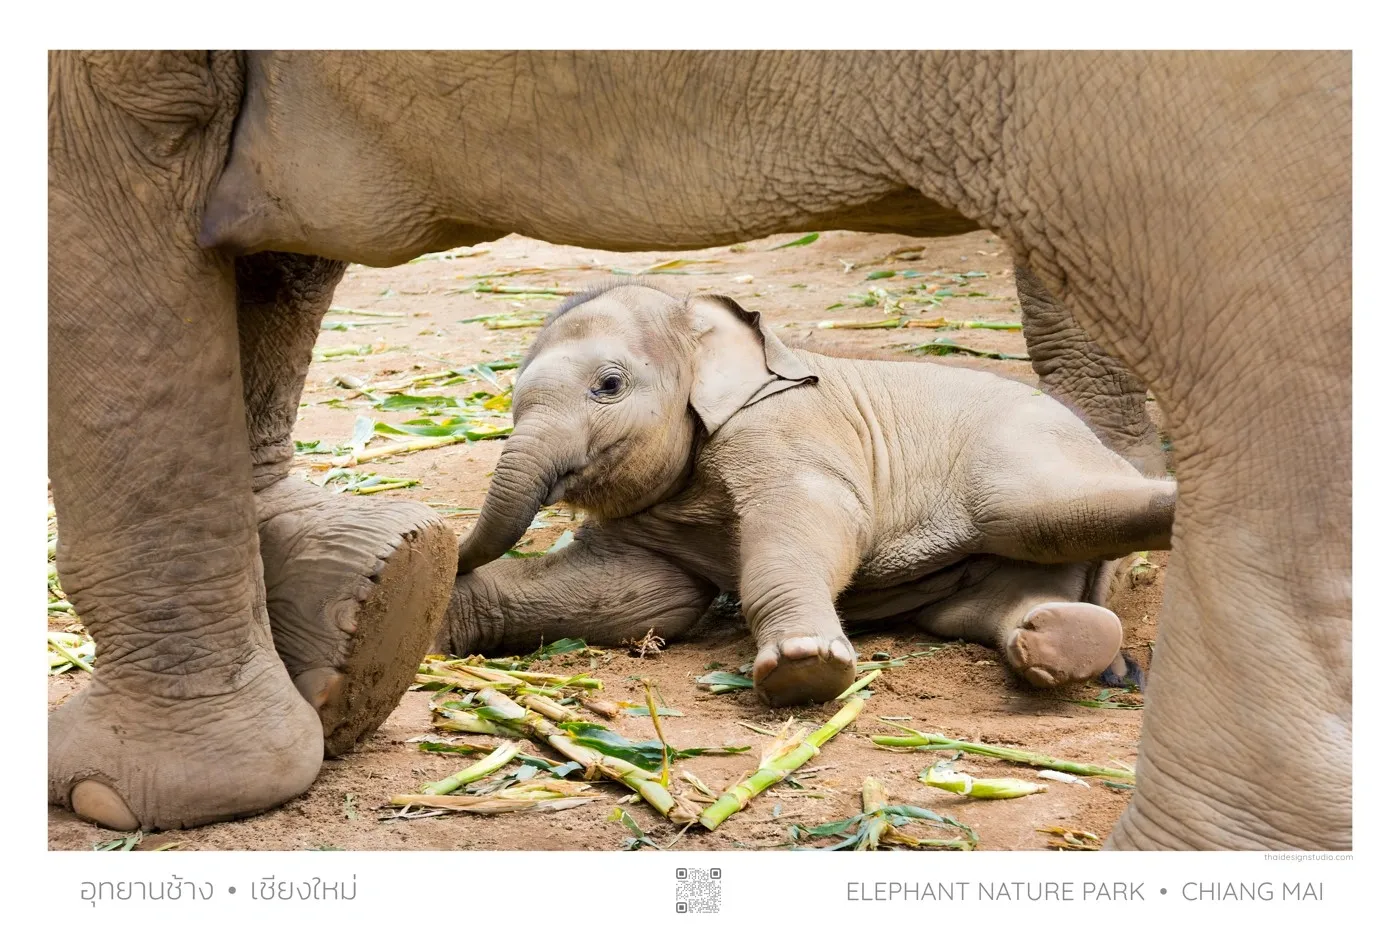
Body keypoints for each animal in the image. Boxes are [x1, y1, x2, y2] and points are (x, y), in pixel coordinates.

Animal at [442, 281, 1175, 706]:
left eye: (609, 385)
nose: (451, 547)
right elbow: (642, 597)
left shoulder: (784, 426)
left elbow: (815, 520)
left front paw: (804, 669)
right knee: (992, 603)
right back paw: (1064, 644)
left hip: (1019, 457)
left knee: (1042, 514)